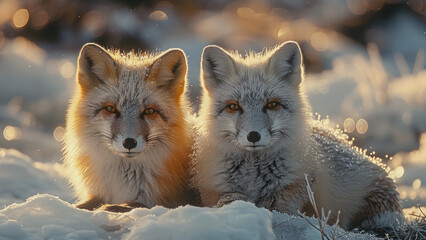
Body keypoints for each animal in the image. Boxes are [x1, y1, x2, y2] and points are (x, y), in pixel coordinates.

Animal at [64, 43, 197, 212]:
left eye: (149, 111)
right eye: (110, 109)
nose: (129, 142)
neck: (124, 180)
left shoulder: (162, 202)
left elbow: (129, 205)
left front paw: (107, 208)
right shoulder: (99, 194)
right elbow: (81, 205)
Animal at [193, 41, 402, 232]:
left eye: (272, 105)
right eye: (233, 107)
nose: (253, 136)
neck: (253, 176)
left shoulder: (295, 191)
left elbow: (281, 207)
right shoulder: (213, 189)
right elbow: (227, 199)